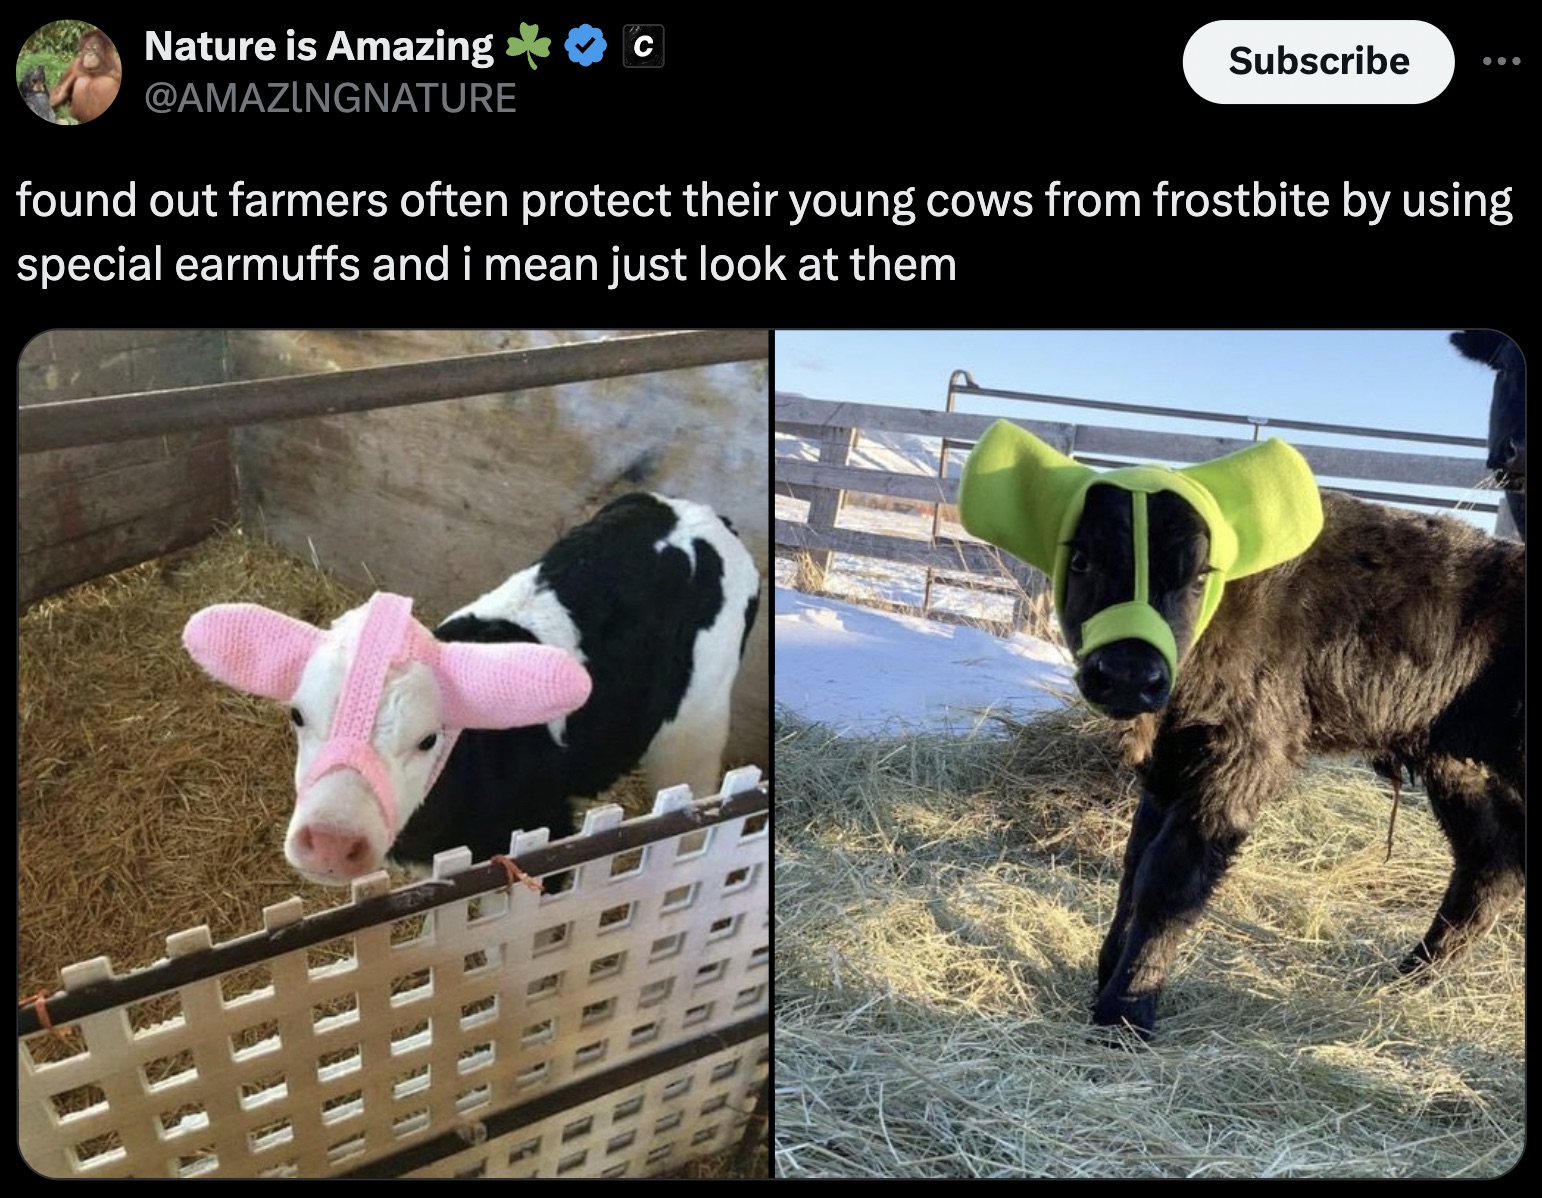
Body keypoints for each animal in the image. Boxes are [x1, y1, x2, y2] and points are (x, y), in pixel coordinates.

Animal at [183, 490, 761, 881]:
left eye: (428, 738)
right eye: (298, 715)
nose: (329, 841)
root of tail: (699, 513)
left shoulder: (548, 832)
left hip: (698, 720)